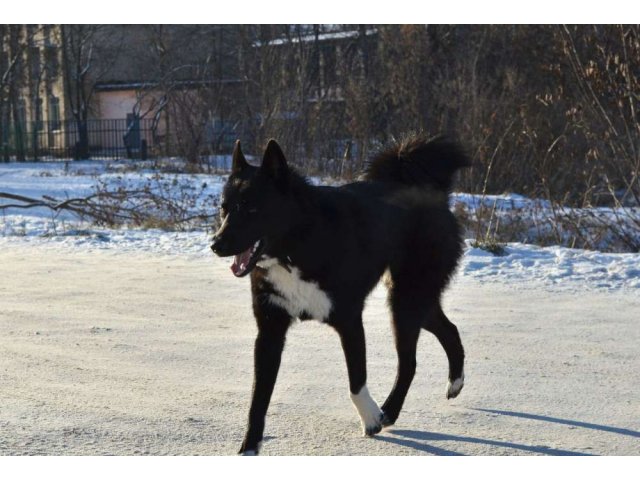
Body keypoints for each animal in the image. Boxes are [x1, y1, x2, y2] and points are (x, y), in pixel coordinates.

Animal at [212, 134, 468, 454]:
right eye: (224, 207)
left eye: (251, 209)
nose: (216, 244)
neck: (296, 246)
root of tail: (434, 195)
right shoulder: (270, 331)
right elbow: (258, 398)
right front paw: (249, 447)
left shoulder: (349, 321)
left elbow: (356, 382)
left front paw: (370, 419)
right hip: (412, 297)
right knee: (449, 329)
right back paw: (454, 382)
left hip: (407, 300)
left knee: (409, 363)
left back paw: (389, 411)